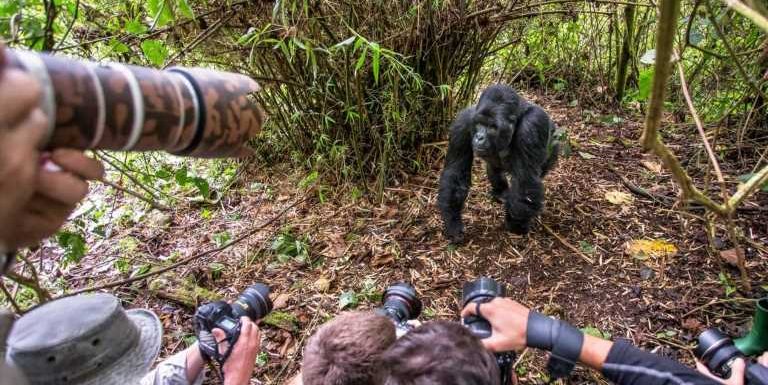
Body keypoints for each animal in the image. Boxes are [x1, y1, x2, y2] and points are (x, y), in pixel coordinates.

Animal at [438, 85, 560, 244]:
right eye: (479, 124)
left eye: (492, 127)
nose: (479, 137)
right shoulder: (463, 122)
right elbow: (455, 171)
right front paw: (453, 222)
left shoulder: (532, 125)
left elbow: (525, 181)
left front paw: (516, 225)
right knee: (494, 168)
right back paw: (500, 191)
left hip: (555, 146)